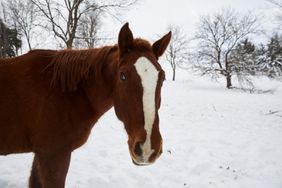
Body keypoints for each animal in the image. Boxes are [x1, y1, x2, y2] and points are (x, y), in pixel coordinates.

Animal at [0, 22, 172, 187]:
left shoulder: (41, 154)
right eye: (123, 76)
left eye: (162, 78)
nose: (148, 148)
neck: (65, 92)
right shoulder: (53, 155)